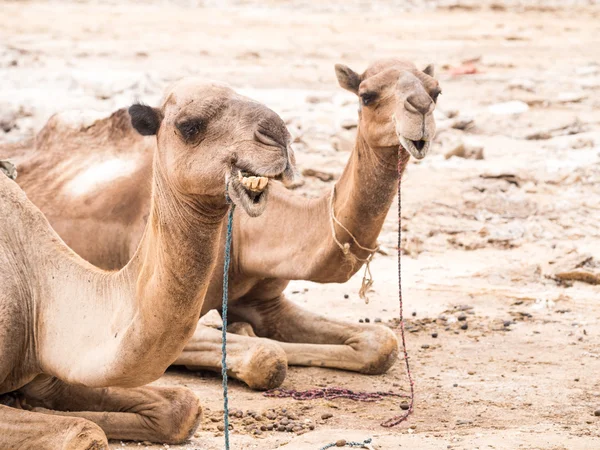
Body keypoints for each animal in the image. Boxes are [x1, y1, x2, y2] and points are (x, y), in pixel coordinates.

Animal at [0, 79, 296, 448]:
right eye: (189, 126)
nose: (278, 136)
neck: (37, 292)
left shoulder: (48, 371)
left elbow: (184, 407)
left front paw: (33, 403)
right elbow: (84, 433)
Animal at [3, 59, 440, 390]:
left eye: (436, 91)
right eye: (367, 95)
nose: (420, 110)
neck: (247, 239)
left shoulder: (266, 300)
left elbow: (380, 341)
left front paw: (247, 331)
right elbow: (267, 354)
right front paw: (245, 336)